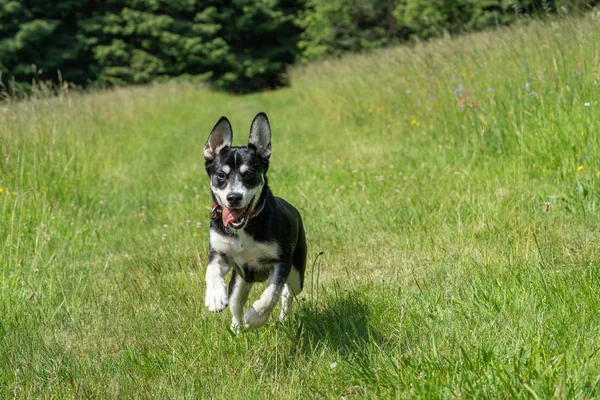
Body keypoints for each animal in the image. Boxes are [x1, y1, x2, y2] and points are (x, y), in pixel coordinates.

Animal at [204, 112, 308, 332]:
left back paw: (282, 318)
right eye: (221, 175)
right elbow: (212, 269)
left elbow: (271, 294)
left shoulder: (282, 261)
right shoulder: (220, 252)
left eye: (250, 174)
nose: (234, 197)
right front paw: (215, 296)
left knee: (288, 292)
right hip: (240, 280)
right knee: (235, 303)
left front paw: (255, 317)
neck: (244, 230)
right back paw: (237, 327)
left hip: (297, 272)